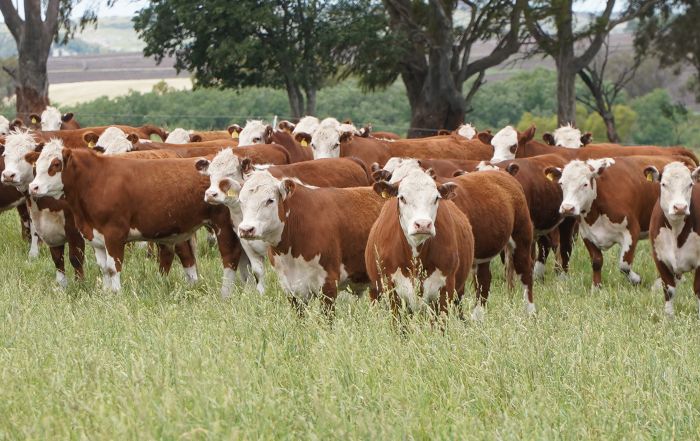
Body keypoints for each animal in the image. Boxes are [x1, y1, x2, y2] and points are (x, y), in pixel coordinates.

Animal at [1, 134, 85, 286]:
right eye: (5, 155)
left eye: (25, 156)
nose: (8, 175)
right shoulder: (46, 226)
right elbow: (57, 257)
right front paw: (61, 285)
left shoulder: (74, 228)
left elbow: (76, 257)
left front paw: (80, 284)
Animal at [26, 146, 243, 296]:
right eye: (36, 165)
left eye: (55, 164)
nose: (33, 187)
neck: (95, 181)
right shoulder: (95, 237)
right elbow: (103, 268)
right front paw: (106, 293)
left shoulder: (114, 234)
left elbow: (113, 267)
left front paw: (116, 293)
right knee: (189, 257)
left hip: (223, 224)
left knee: (229, 257)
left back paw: (225, 292)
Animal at [366, 169, 475, 316]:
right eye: (402, 198)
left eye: (436, 198)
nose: (423, 224)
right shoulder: (392, 290)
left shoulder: (446, 290)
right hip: (375, 291)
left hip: (459, 292)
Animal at [546, 155, 693, 287]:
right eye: (561, 183)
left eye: (585, 184)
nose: (567, 208)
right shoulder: (587, 234)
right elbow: (596, 261)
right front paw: (596, 287)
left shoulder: (632, 231)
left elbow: (624, 265)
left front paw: (636, 279)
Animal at [645, 162, 700, 317]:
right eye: (663, 184)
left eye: (690, 184)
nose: (680, 207)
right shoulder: (660, 258)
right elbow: (669, 289)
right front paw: (669, 316)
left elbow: (698, 289)